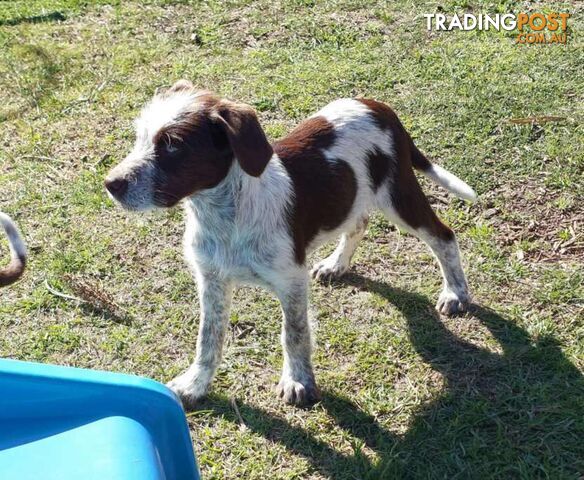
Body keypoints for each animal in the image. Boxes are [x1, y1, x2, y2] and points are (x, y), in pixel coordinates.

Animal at [106, 80, 480, 406]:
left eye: (173, 145)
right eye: (140, 138)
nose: (111, 183)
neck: (225, 216)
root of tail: (379, 107)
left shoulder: (291, 279)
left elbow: (294, 333)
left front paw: (298, 381)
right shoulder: (211, 279)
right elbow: (207, 339)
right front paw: (196, 383)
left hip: (399, 195)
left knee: (443, 236)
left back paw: (455, 293)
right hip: (358, 194)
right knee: (358, 221)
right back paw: (336, 264)